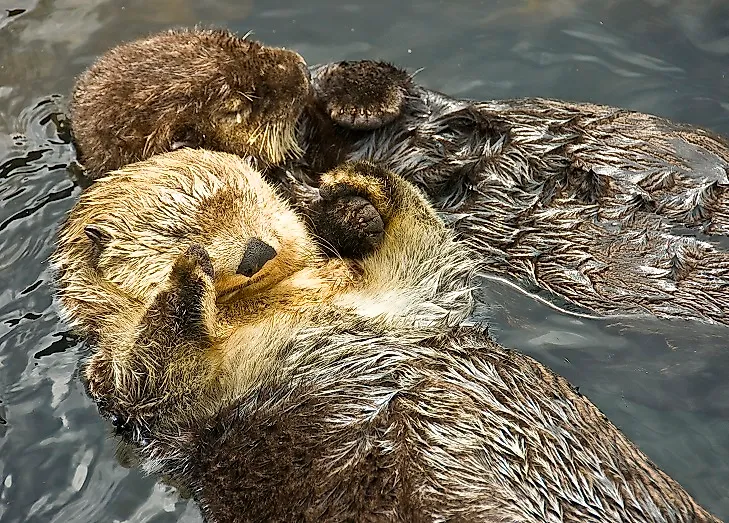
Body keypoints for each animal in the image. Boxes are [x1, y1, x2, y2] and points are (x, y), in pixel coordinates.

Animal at [52, 149, 718, 522]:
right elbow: (154, 372)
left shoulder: (398, 301)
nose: (253, 251)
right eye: (177, 228)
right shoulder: (142, 395)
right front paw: (189, 279)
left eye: (255, 200)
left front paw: (361, 182)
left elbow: (425, 260)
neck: (269, 305)